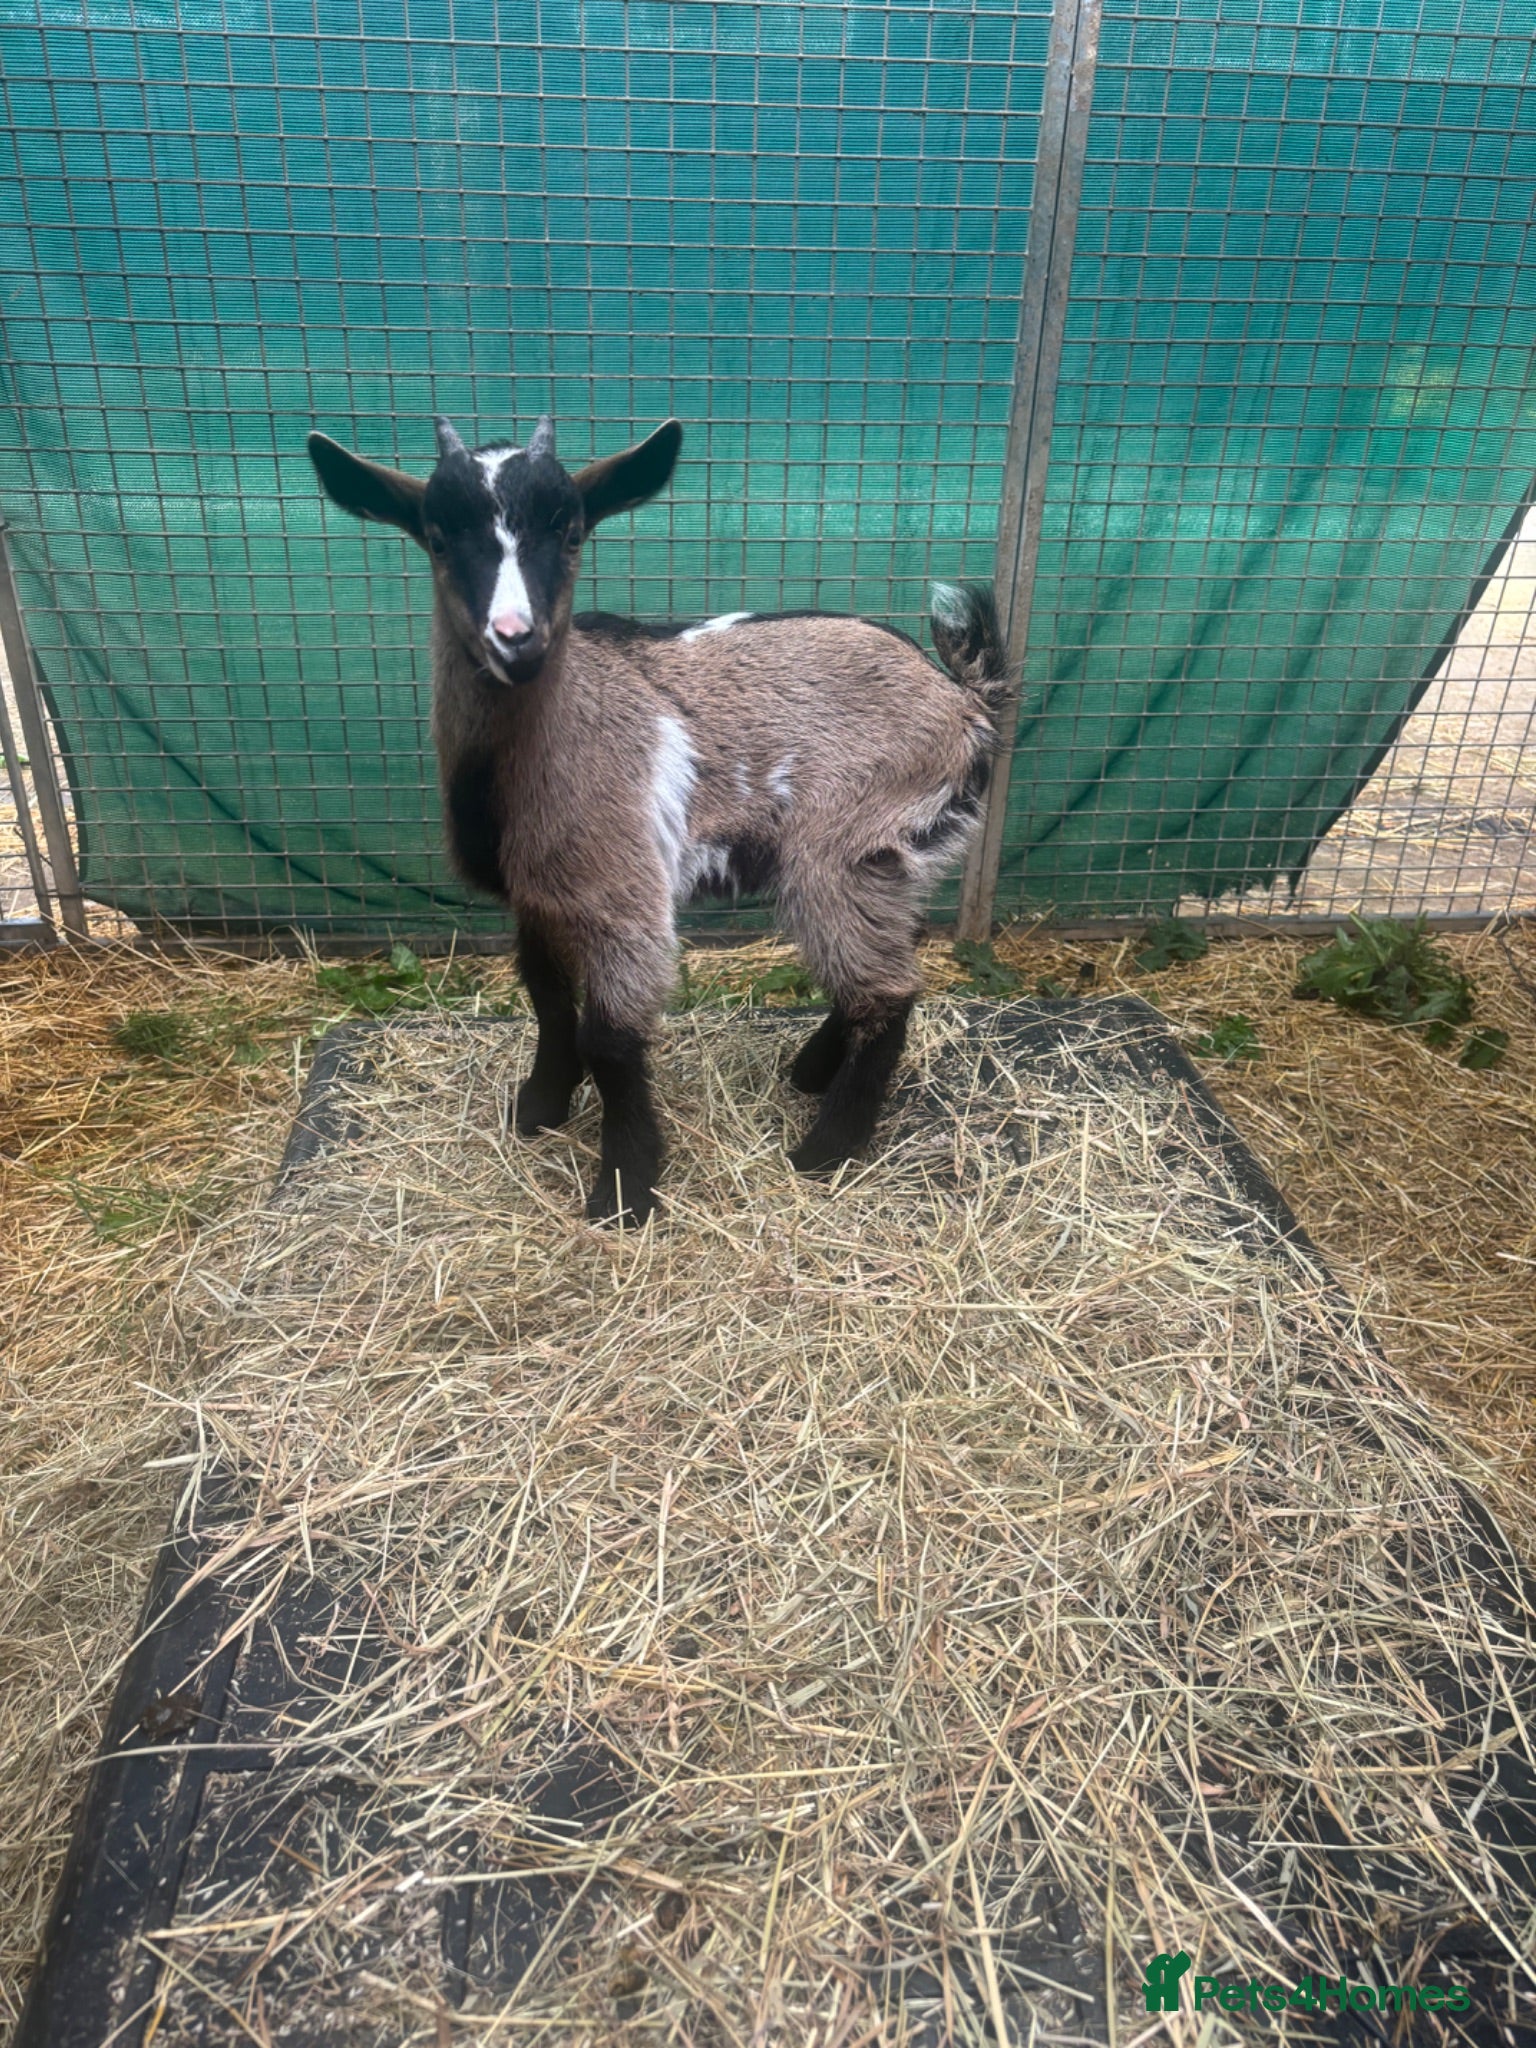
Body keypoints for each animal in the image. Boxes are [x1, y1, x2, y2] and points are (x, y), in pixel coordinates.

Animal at [307, 414, 1007, 1223]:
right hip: (891, 857)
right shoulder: (538, 897)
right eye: (438, 536)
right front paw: (540, 1108)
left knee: (887, 990)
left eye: (571, 531)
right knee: (894, 956)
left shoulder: (623, 896)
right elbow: (547, 999)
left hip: (843, 844)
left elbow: (609, 1039)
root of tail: (964, 700)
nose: (515, 637)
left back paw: (823, 1151)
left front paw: (625, 1189)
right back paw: (808, 1073)